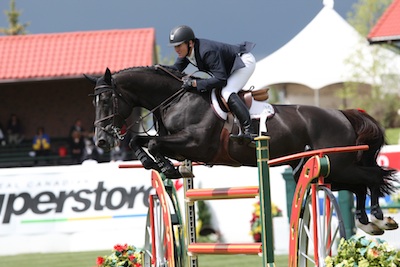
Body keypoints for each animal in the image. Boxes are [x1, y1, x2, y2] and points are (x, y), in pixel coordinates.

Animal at [86, 66, 398, 236]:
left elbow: (151, 142)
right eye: (94, 102)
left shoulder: (196, 144)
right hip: (330, 170)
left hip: (337, 165)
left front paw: (166, 167)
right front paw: (157, 165)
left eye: (107, 100)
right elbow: (137, 141)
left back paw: (379, 218)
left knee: (372, 177)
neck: (176, 99)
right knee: (360, 185)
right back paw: (368, 222)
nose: (101, 141)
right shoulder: (179, 143)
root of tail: (343, 114)